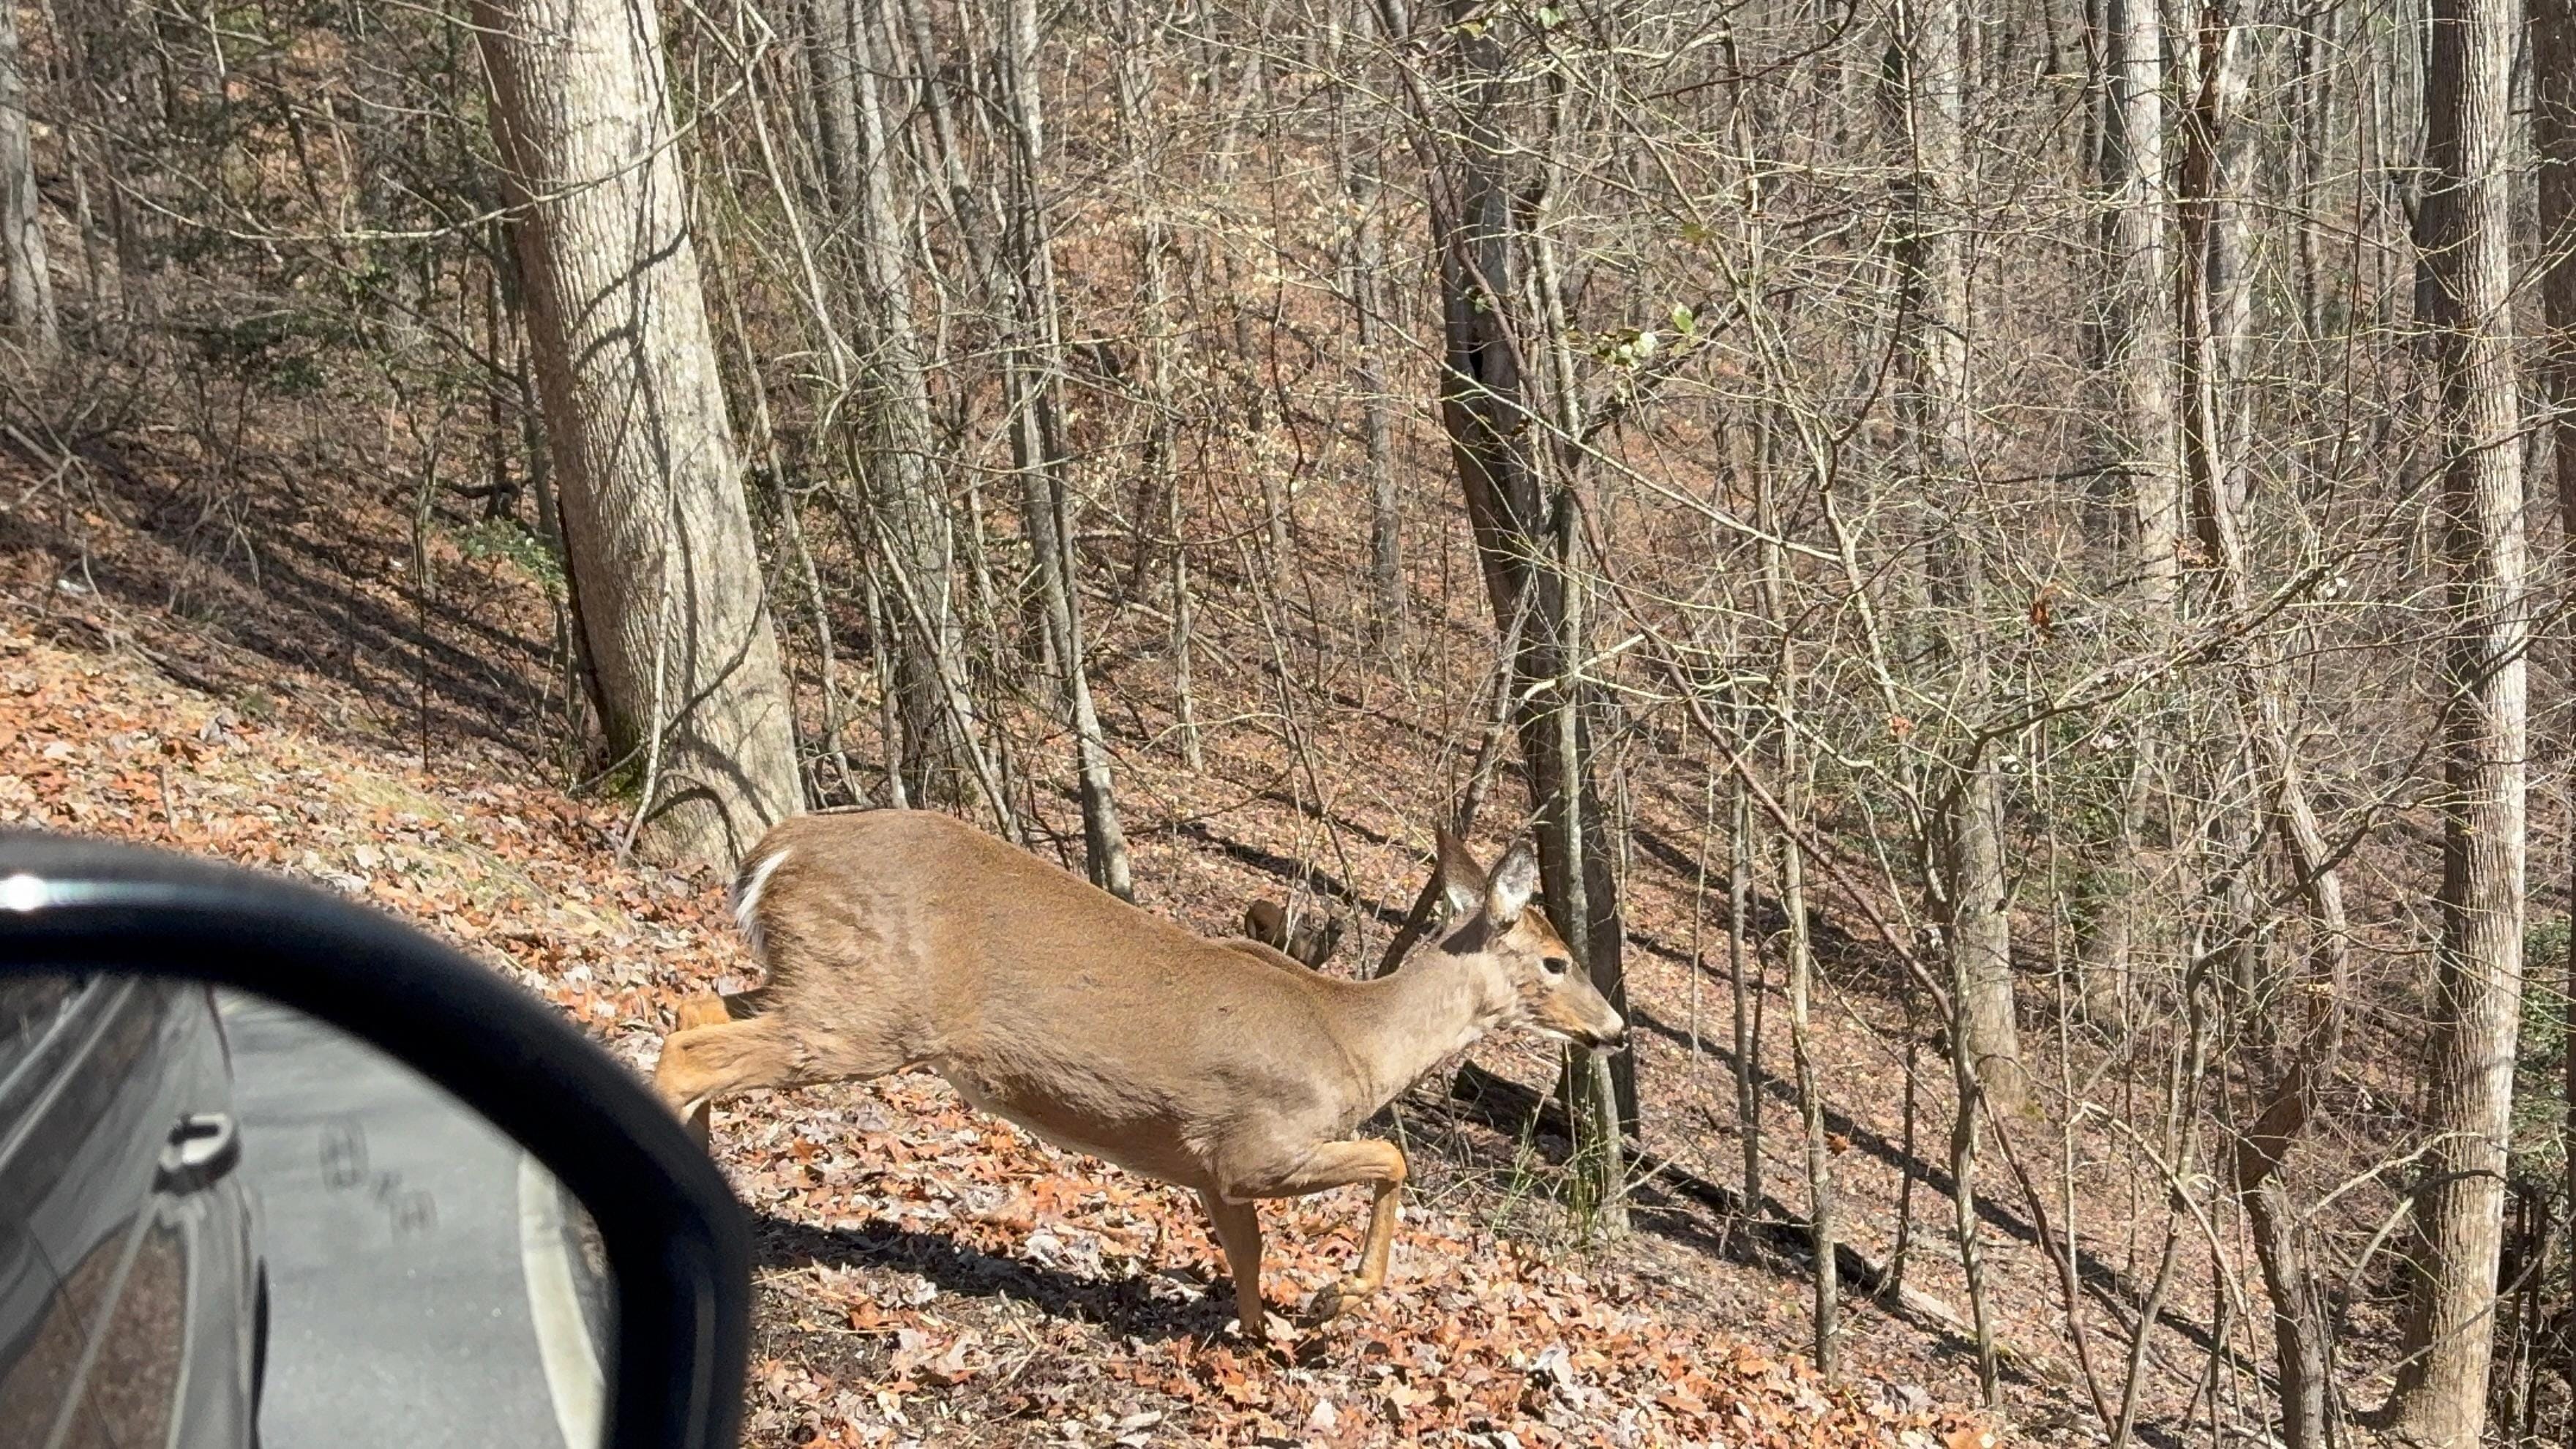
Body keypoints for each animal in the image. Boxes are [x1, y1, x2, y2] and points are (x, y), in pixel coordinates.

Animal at [651, 808, 1625, 1339]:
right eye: (1555, 960)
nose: (1613, 1030)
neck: (1355, 1041)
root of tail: (775, 851)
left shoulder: (1205, 1167)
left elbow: (1246, 1253)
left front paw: (1263, 1338)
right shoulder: (1256, 1145)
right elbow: (1394, 1159)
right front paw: (1334, 1304)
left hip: (818, 986)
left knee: (695, 1010)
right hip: (866, 1012)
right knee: (691, 1050)